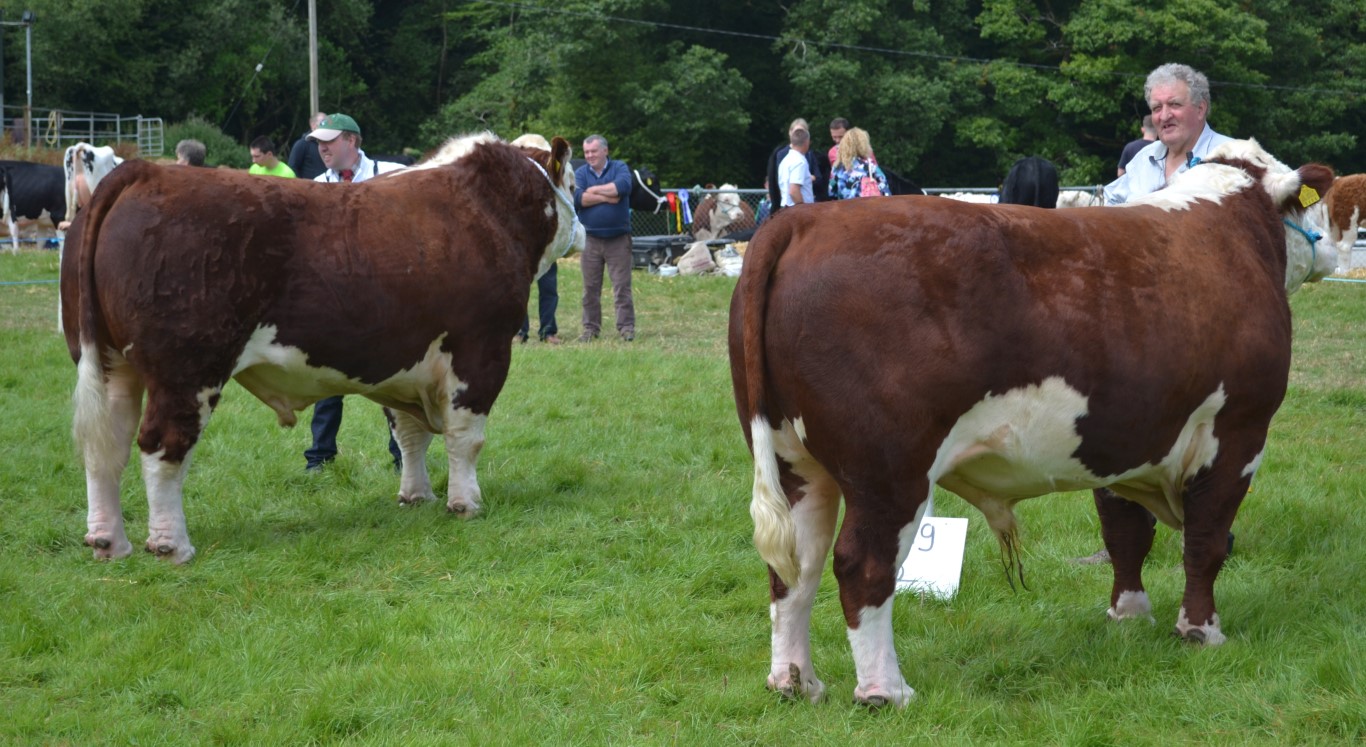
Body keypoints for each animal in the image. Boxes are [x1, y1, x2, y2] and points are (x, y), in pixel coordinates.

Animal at [61, 132, 584, 564]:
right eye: (575, 181)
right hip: (187, 370)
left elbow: (409, 434)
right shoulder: (481, 349)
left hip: (110, 363)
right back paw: (172, 545)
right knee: (162, 445)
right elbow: (466, 437)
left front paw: (417, 496)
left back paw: (108, 540)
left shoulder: (403, 358)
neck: (488, 212)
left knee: (105, 446)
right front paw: (466, 503)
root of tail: (145, 171)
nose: (583, 231)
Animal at [728, 139, 1334, 708]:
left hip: (795, 460)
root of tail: (806, 221)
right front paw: (1201, 631)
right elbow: (1206, 542)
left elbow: (1126, 535)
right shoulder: (1236, 433)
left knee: (796, 567)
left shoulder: (1121, 436)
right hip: (889, 470)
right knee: (862, 565)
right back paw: (885, 691)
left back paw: (796, 681)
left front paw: (1129, 617)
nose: (1335, 244)